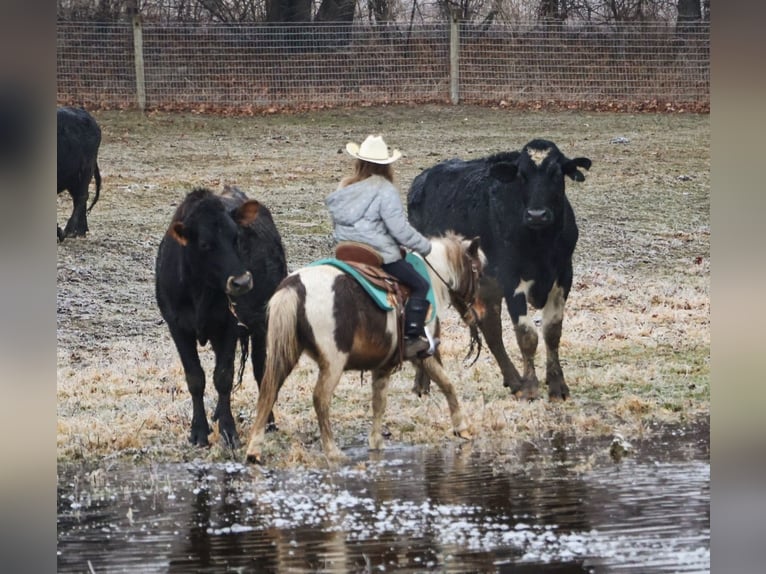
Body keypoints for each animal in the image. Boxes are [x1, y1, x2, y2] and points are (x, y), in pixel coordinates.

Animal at [244, 232, 487, 463]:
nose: (479, 314)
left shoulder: (383, 365)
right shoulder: (423, 354)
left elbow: (379, 402)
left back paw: (254, 450)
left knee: (268, 392)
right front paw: (462, 428)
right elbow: (447, 384)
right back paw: (332, 451)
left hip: (285, 353)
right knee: (320, 398)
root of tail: (296, 285)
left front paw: (376, 442)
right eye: (477, 272)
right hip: (333, 362)